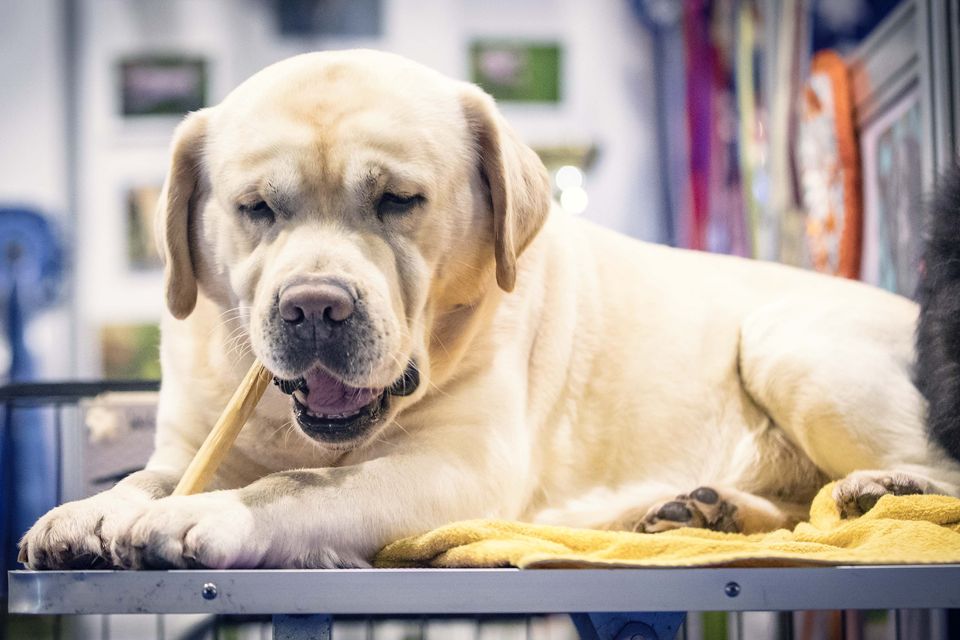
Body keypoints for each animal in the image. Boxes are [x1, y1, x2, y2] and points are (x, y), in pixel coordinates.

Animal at [18, 50, 960, 568]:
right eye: (256, 209)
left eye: (398, 200)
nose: (315, 306)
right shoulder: (194, 443)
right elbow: (148, 476)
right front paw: (88, 513)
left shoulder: (455, 467)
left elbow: (298, 485)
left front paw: (204, 514)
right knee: (797, 505)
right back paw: (699, 508)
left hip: (785, 340)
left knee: (925, 473)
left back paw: (880, 487)